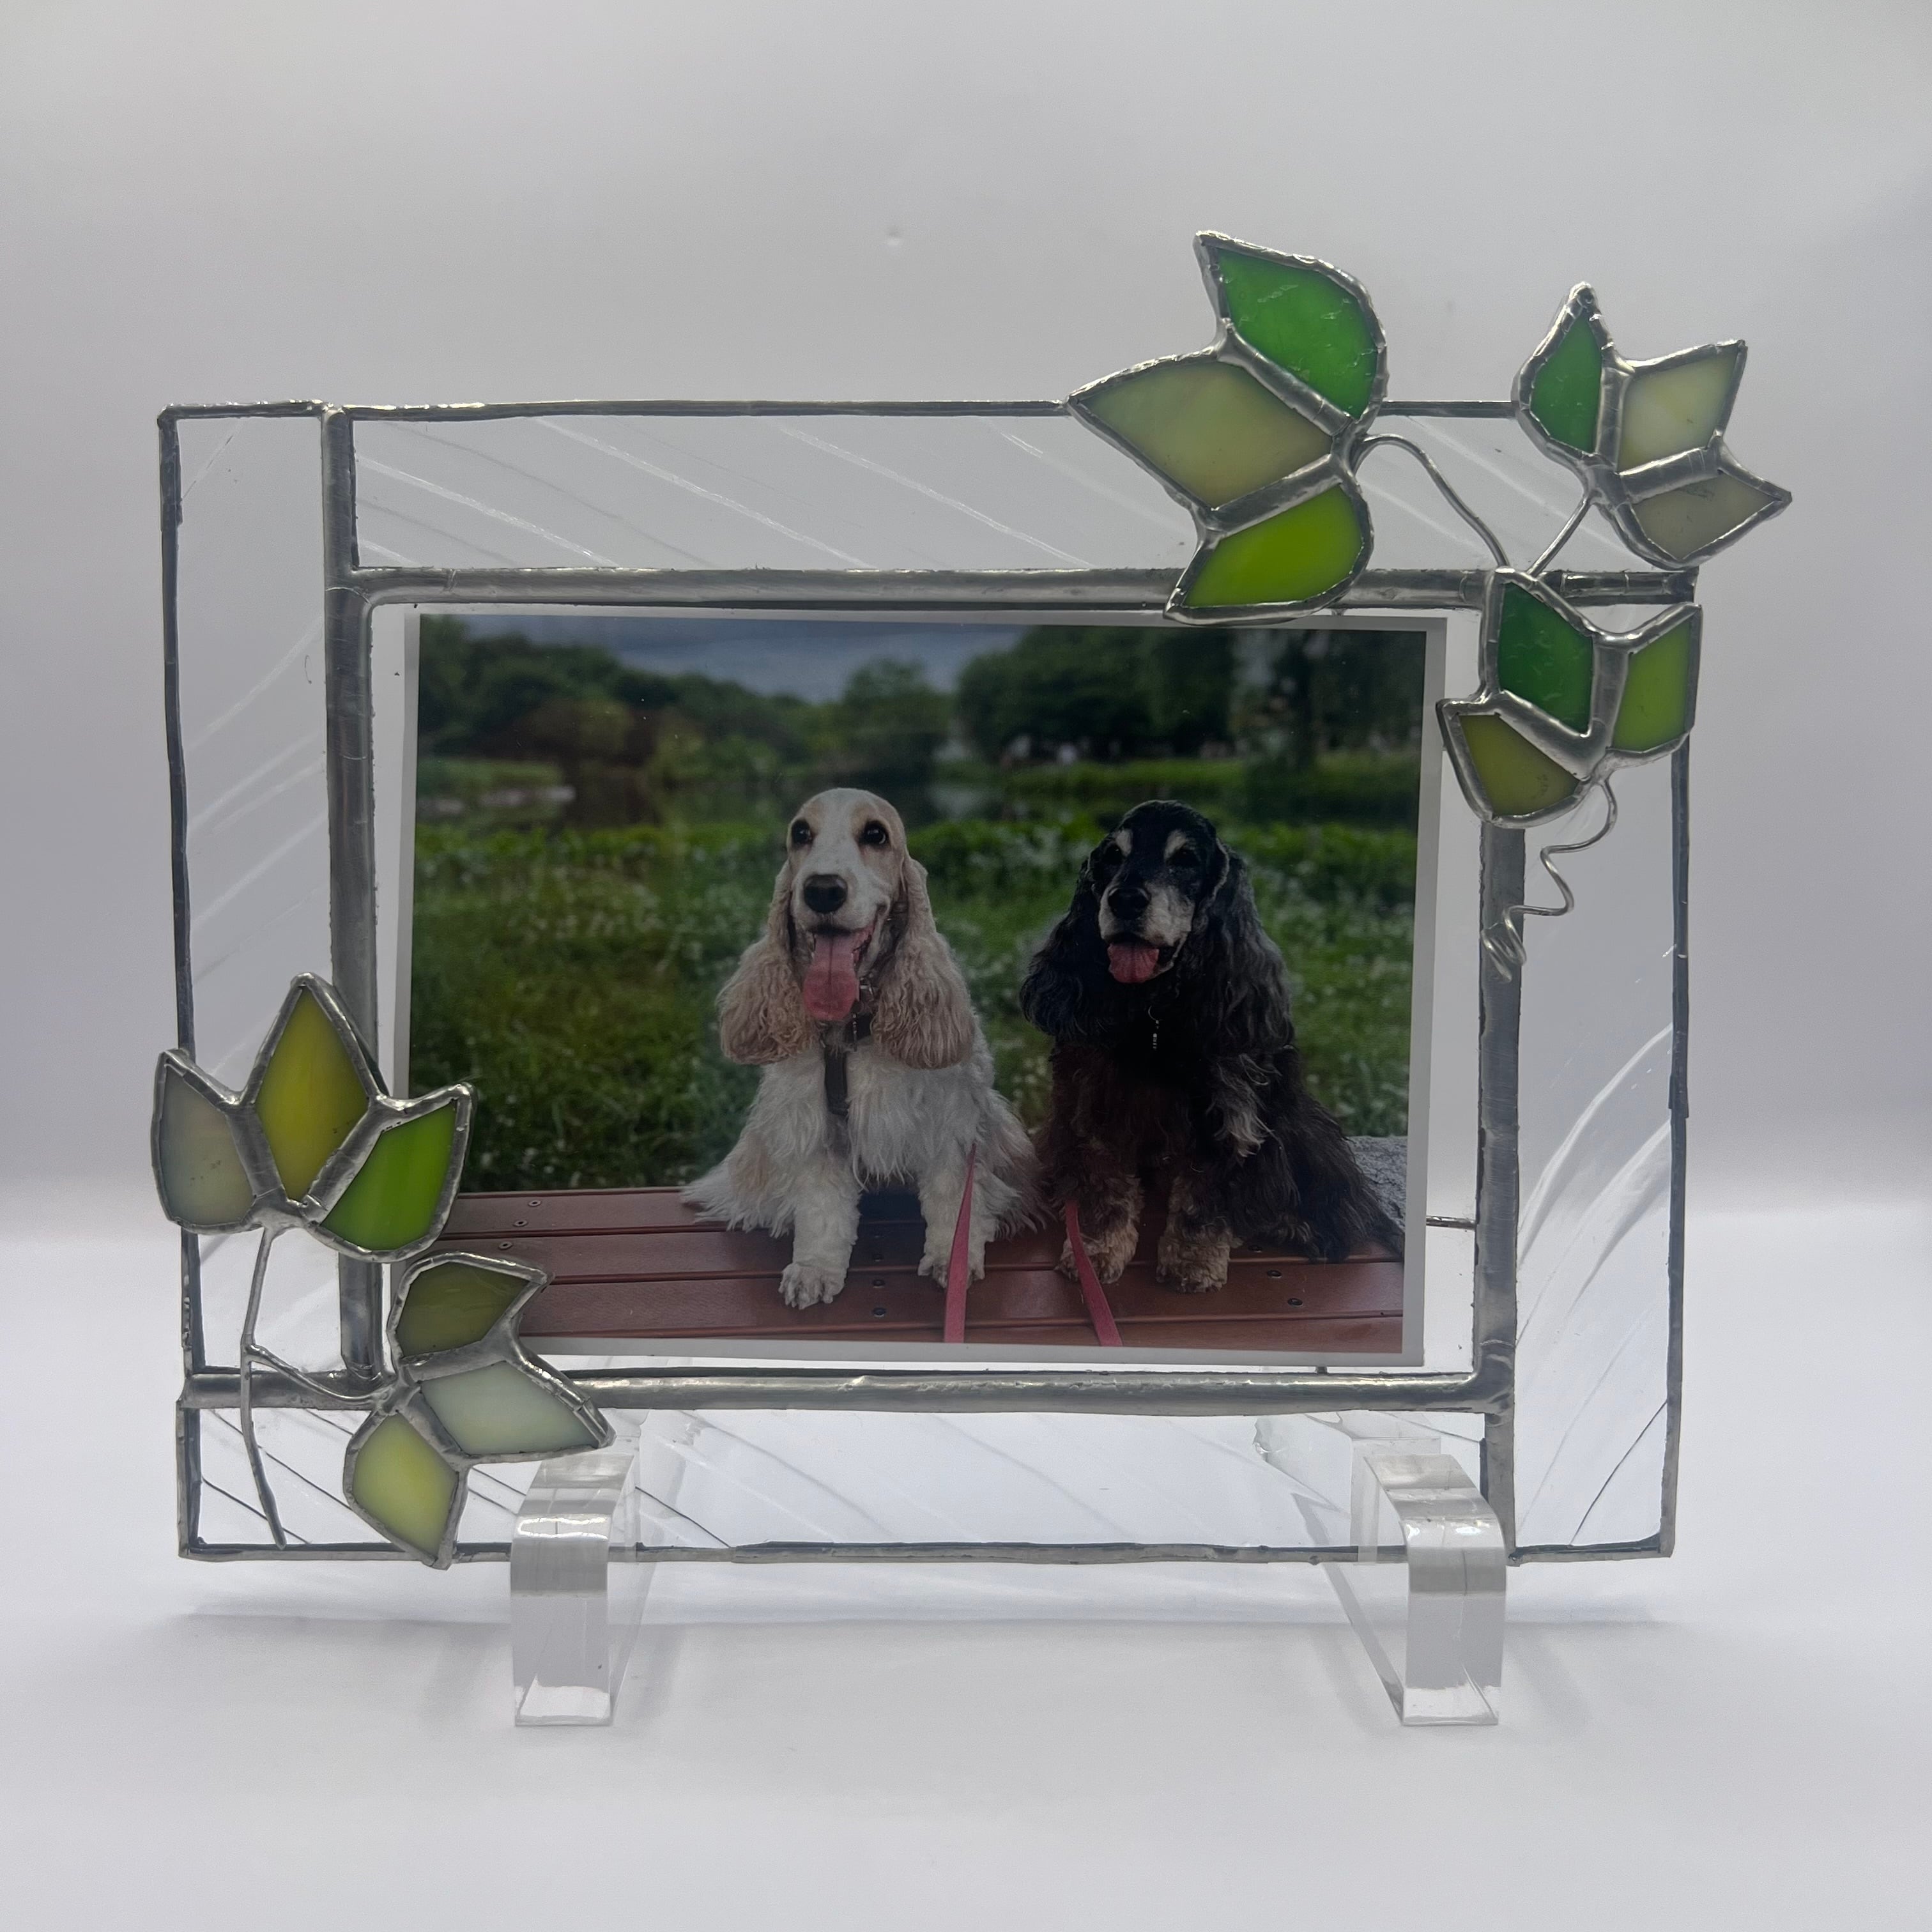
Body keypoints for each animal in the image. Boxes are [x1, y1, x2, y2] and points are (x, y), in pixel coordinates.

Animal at [684, 788, 1036, 1309]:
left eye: (875, 834)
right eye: (801, 833)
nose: (823, 889)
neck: (851, 1026)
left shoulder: (951, 1123)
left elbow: (952, 1199)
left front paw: (951, 1260)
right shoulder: (815, 1126)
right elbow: (821, 1207)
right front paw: (814, 1270)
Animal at [1020, 799, 1399, 1292]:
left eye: (1185, 860)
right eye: (1113, 857)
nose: (1125, 899)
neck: (1155, 1011)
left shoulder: (1226, 1114)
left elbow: (1204, 1196)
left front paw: (1194, 1261)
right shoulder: (1093, 1105)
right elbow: (1107, 1189)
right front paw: (1098, 1251)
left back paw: (1297, 1224)